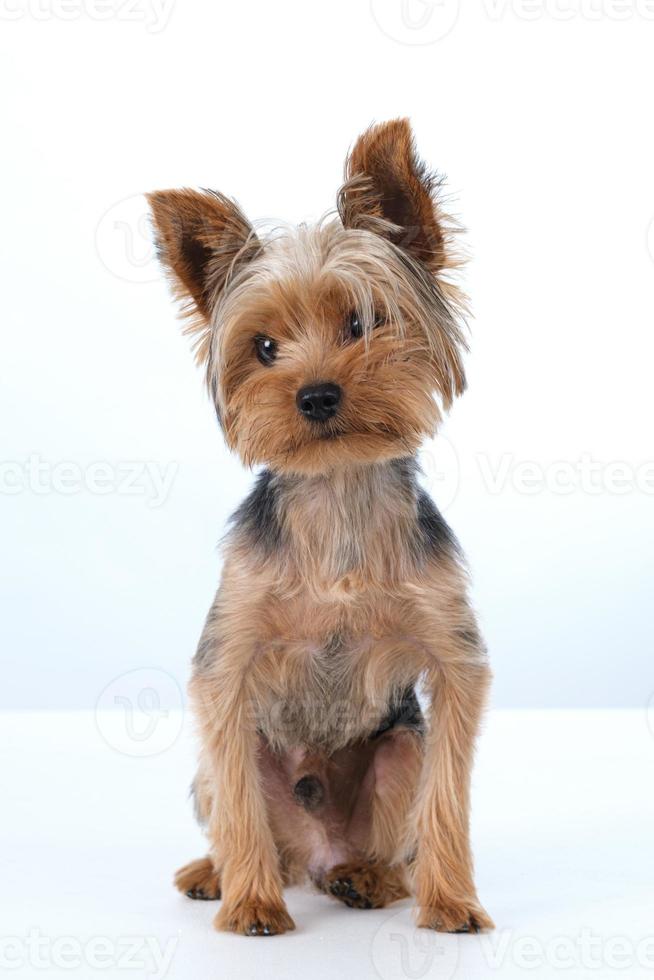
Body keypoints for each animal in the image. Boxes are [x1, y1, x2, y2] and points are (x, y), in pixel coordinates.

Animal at [149, 118, 494, 936]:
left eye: (362, 321)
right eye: (264, 347)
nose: (315, 395)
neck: (336, 490)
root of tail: (317, 851)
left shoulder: (453, 658)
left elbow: (447, 795)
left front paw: (453, 903)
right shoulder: (227, 661)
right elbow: (238, 792)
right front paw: (250, 905)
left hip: (398, 748)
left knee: (391, 833)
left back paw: (367, 878)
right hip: (223, 770)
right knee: (241, 809)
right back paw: (224, 874)